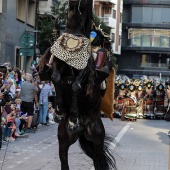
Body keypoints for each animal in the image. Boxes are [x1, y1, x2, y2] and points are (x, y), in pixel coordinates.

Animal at [38, 0, 117, 169]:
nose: (74, 3)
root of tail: (82, 131)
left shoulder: (86, 70)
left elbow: (76, 85)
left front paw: (73, 117)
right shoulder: (58, 63)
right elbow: (55, 77)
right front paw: (59, 111)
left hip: (97, 139)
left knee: (98, 161)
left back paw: (75, 122)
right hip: (64, 141)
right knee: (64, 162)